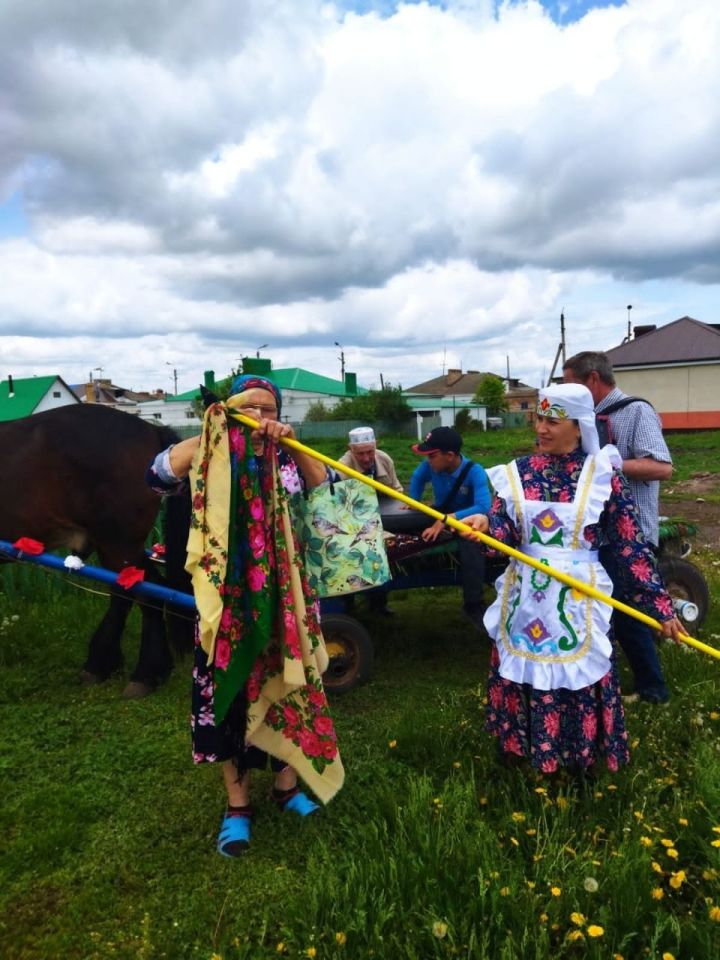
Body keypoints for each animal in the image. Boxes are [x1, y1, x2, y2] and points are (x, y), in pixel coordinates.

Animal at [0, 404, 191, 696]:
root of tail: (150, 429)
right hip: (113, 545)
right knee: (127, 593)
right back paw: (103, 664)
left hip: (119, 542)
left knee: (148, 592)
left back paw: (144, 673)